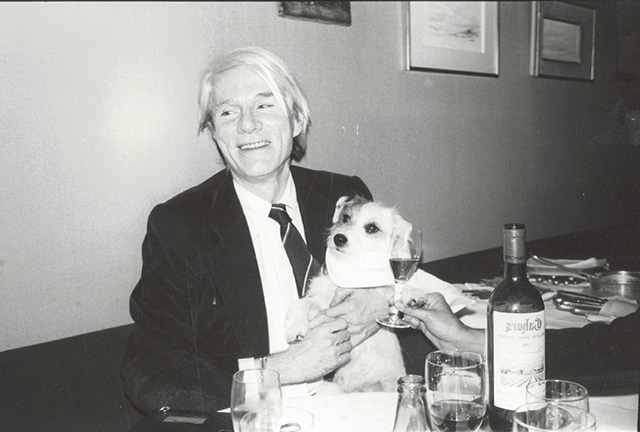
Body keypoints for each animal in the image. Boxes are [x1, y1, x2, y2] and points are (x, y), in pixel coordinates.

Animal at [284, 197, 410, 394]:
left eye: (372, 228)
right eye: (345, 217)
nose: (339, 238)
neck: (346, 270)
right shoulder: (322, 303)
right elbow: (303, 303)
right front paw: (294, 326)